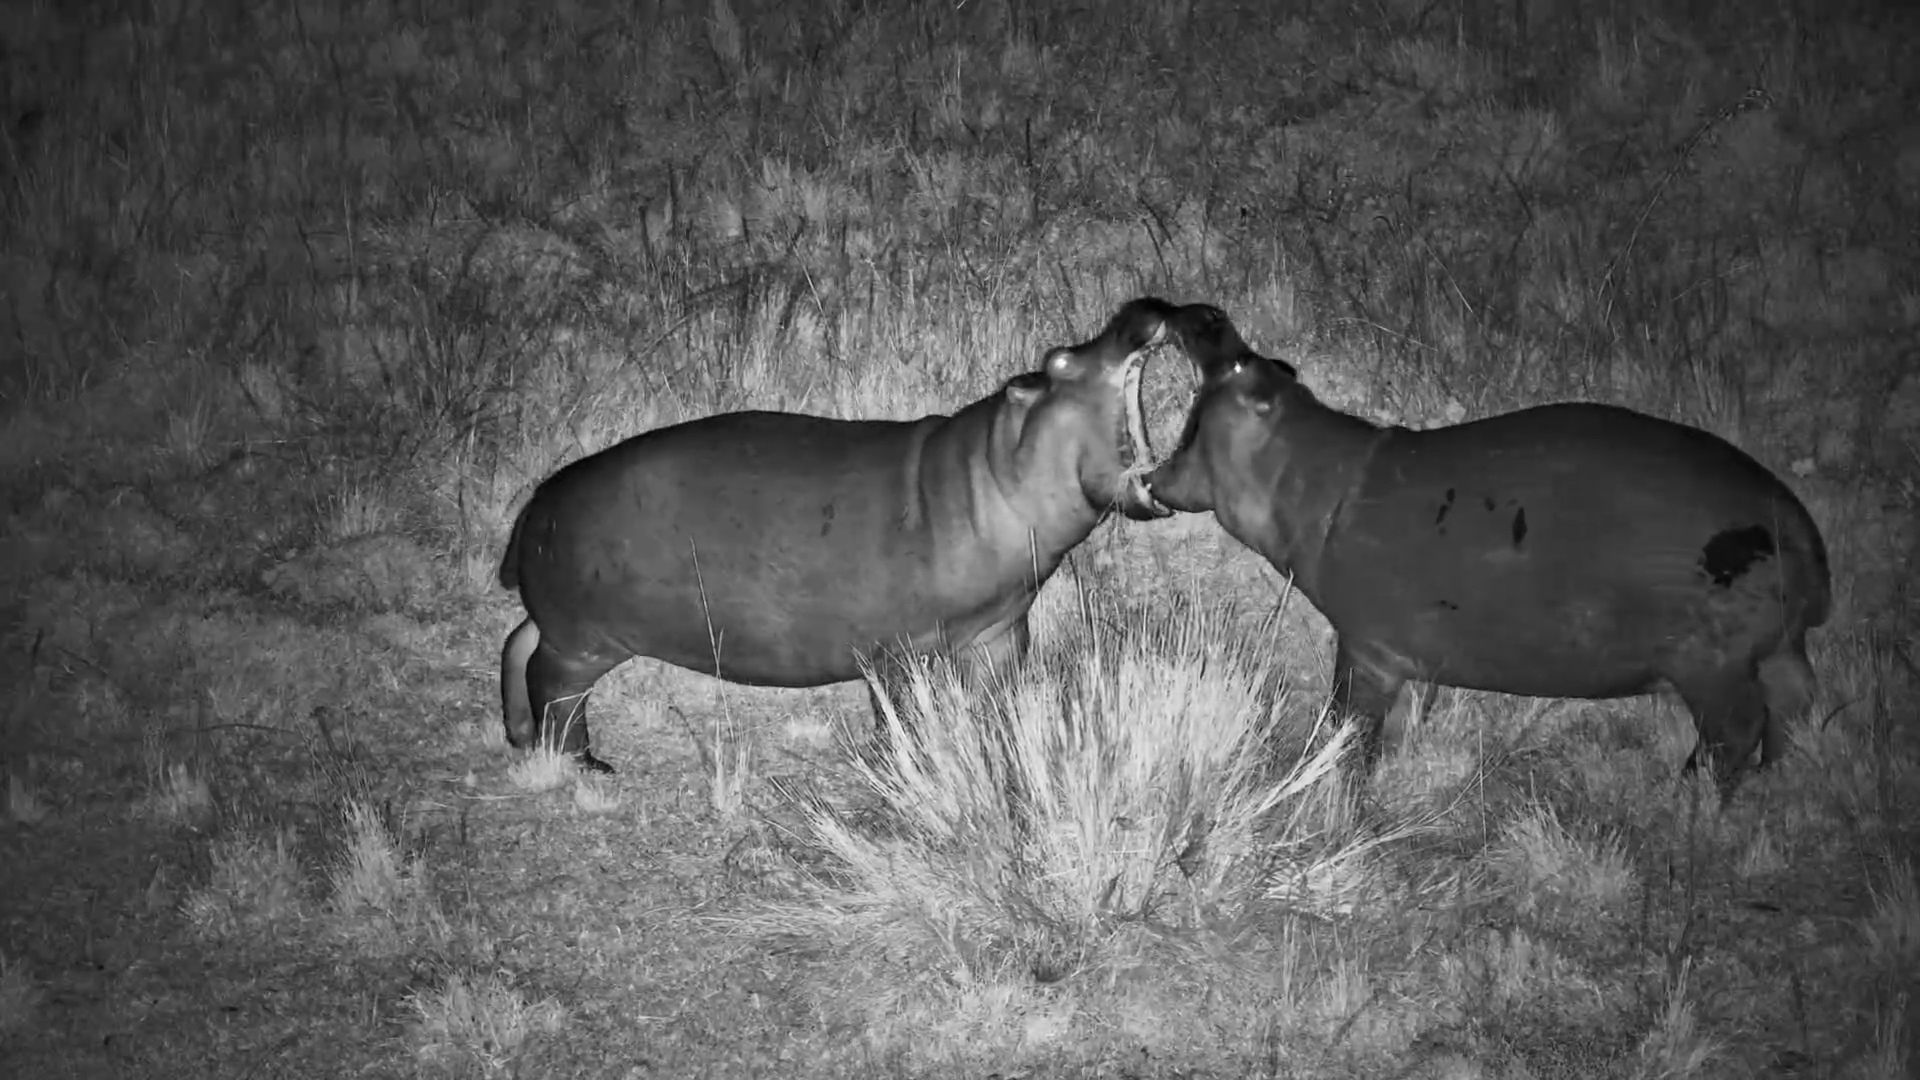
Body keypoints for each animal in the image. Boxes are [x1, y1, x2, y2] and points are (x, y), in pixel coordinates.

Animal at [498, 298, 1177, 772]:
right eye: (1060, 359)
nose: (1141, 307)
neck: (990, 467)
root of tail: (536, 504)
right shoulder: (900, 649)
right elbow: (902, 710)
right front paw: (905, 760)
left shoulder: (999, 632)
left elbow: (996, 695)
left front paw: (999, 733)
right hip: (584, 639)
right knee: (550, 681)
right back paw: (583, 761)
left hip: (563, 619)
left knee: (517, 642)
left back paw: (522, 737)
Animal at [1124, 304, 1830, 797]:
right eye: (1275, 362)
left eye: (1243, 367)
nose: (1210, 312)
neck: (1304, 472)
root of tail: (1797, 528)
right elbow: (1405, 717)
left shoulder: (1366, 647)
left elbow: (1351, 723)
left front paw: (1336, 782)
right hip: (1776, 650)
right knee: (1796, 709)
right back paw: (1776, 782)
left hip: (1712, 664)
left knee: (1737, 730)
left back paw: (1685, 794)